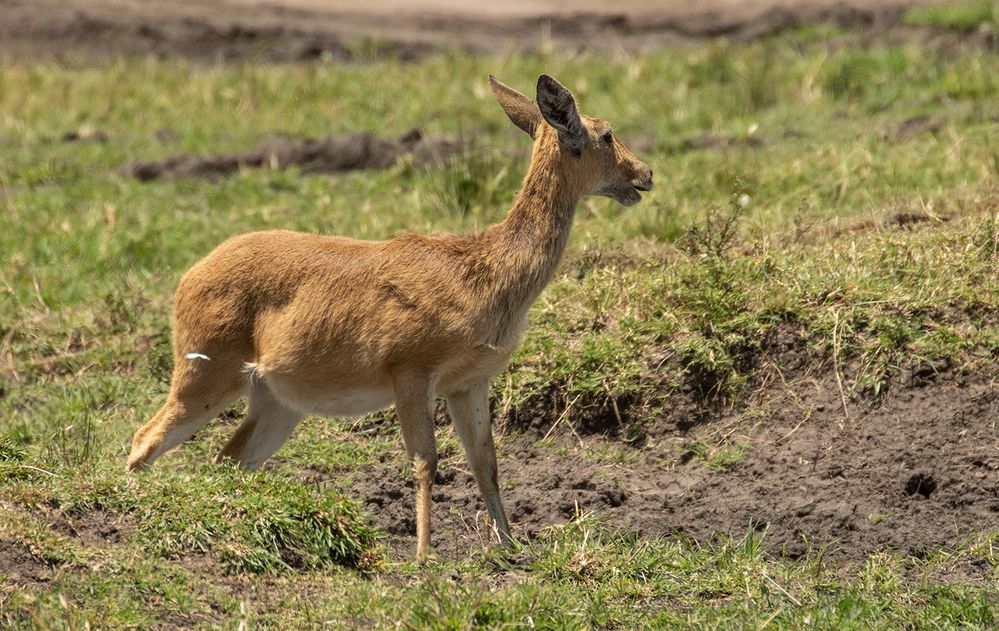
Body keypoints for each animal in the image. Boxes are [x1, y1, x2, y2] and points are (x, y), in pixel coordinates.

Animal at [127, 75, 656, 556]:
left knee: (227, 458)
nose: (645, 174)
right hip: (205, 376)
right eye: (605, 133)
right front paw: (424, 556)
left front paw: (510, 548)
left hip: (276, 402)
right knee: (144, 438)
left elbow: (486, 462)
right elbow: (425, 460)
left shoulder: (470, 381)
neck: (485, 273)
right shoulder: (411, 372)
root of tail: (189, 276)